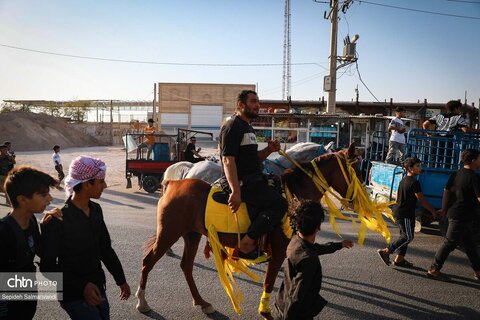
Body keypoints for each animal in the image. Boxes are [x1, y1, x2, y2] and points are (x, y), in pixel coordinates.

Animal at [135, 144, 360, 318]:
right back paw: (142, 301)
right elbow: (269, 282)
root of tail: (172, 183)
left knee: (186, 266)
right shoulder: (278, 251)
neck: (292, 197)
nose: (357, 200)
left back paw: (202, 302)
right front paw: (265, 310)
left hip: (192, 234)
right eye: (355, 172)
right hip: (169, 232)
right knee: (148, 262)